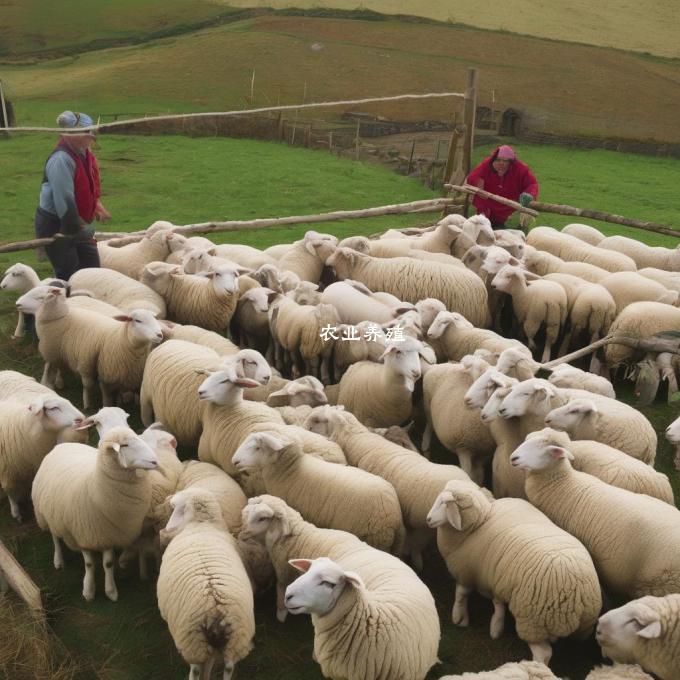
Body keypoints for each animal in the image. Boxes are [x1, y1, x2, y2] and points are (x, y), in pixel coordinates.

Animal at [31, 428, 159, 604]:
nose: (155, 461)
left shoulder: (108, 533)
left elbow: (108, 563)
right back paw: (58, 560)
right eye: (124, 445)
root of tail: (62, 446)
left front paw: (111, 591)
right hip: (47, 514)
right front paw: (89, 590)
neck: (95, 485)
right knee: (55, 537)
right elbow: (90, 564)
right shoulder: (84, 533)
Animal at [157, 488, 255, 680]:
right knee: (227, 667)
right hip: (233, 642)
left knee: (196, 668)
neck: (201, 525)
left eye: (174, 507)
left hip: (193, 641)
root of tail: (216, 610)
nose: (163, 533)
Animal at [430, 478, 600, 664]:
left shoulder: (466, 572)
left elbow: (461, 594)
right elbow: (498, 604)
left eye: (443, 503)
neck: (481, 522)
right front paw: (496, 627)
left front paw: (459, 618)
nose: (428, 519)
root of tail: (576, 591)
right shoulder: (495, 577)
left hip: (532, 619)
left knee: (543, 653)